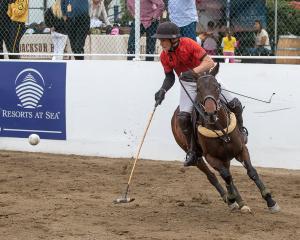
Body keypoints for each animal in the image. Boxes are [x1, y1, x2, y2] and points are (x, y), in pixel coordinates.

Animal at [172, 64, 280, 213]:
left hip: (226, 157)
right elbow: (226, 176)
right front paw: (231, 198)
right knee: (213, 176)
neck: (221, 128)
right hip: (197, 156)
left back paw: (241, 203)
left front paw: (271, 201)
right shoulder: (211, 157)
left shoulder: (241, 150)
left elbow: (251, 172)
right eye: (197, 89)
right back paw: (230, 199)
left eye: (217, 86)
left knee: (234, 103)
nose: (211, 113)